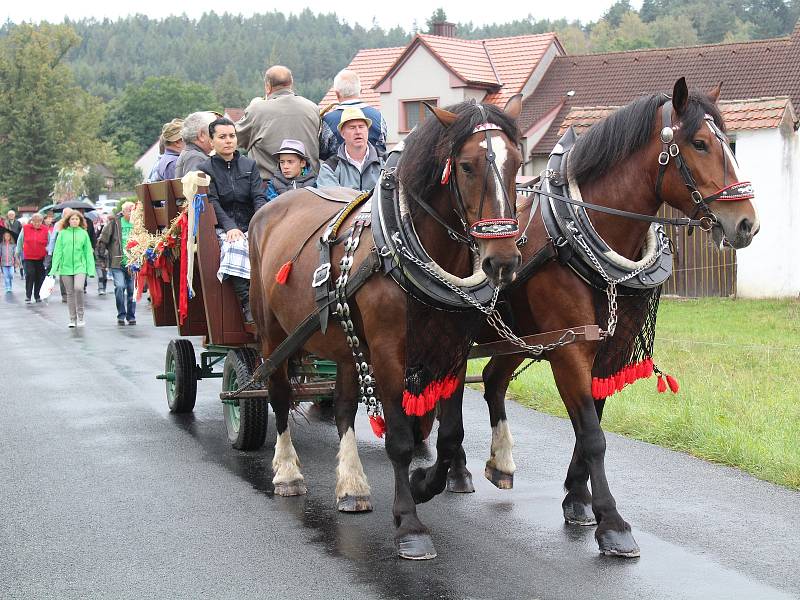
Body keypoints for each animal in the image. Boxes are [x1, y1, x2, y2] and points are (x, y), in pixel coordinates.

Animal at [250, 97, 524, 556]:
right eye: (467, 166)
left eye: (517, 163)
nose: (501, 261)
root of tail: (269, 211)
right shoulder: (386, 352)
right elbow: (398, 438)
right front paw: (409, 523)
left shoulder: (452, 352)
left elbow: (450, 436)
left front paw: (425, 482)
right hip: (274, 334)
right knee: (279, 394)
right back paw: (287, 472)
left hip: (343, 343)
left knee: (344, 407)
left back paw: (352, 486)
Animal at [454, 78, 760, 556]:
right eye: (699, 143)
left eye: (729, 142)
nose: (747, 223)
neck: (581, 232)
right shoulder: (570, 351)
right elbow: (593, 435)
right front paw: (613, 523)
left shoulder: (606, 346)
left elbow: (591, 423)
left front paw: (578, 501)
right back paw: (454, 468)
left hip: (517, 334)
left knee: (491, 380)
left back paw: (499, 463)